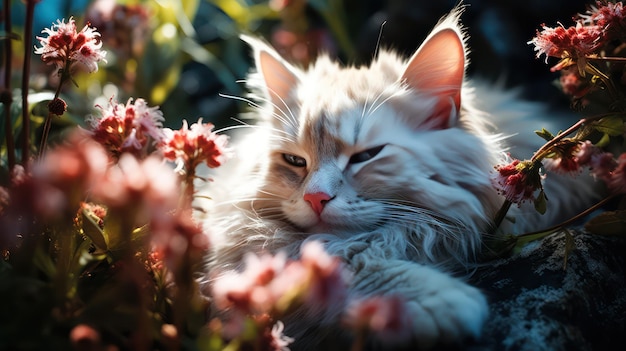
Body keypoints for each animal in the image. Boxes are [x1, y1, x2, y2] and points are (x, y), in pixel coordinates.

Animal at [202, 5, 596, 351]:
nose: (315, 198)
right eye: (295, 161)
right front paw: (437, 300)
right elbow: (344, 260)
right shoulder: (241, 239)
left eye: (365, 156)